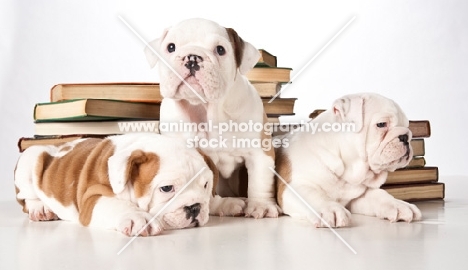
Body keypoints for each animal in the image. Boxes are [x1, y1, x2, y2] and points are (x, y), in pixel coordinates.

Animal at [14, 133, 216, 236]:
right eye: (166, 189)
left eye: (206, 185)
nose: (195, 207)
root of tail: (57, 146)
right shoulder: (93, 198)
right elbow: (117, 205)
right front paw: (138, 217)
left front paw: (221, 203)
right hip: (32, 157)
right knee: (26, 197)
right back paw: (40, 209)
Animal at [144, 17, 280, 219]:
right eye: (171, 47)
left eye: (220, 50)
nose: (192, 57)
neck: (204, 110)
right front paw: (224, 205)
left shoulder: (260, 151)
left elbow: (260, 180)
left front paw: (260, 205)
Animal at [276, 93, 422, 228]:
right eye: (381, 124)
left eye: (407, 126)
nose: (405, 136)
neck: (346, 171)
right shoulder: (293, 187)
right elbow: (313, 195)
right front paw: (330, 209)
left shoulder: (357, 196)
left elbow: (380, 194)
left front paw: (398, 204)